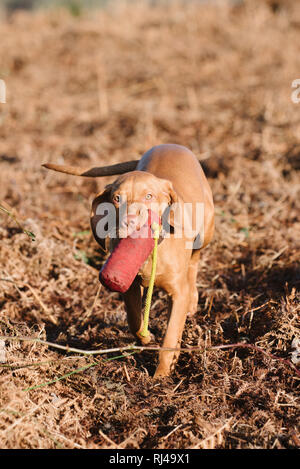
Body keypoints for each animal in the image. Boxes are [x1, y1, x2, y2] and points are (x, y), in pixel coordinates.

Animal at [43, 143, 214, 376]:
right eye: (117, 199)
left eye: (149, 196)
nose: (130, 221)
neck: (152, 250)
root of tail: (170, 145)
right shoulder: (130, 286)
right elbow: (134, 320)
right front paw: (146, 338)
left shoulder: (178, 293)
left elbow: (170, 337)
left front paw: (162, 375)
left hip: (205, 232)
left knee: (195, 262)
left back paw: (193, 299)